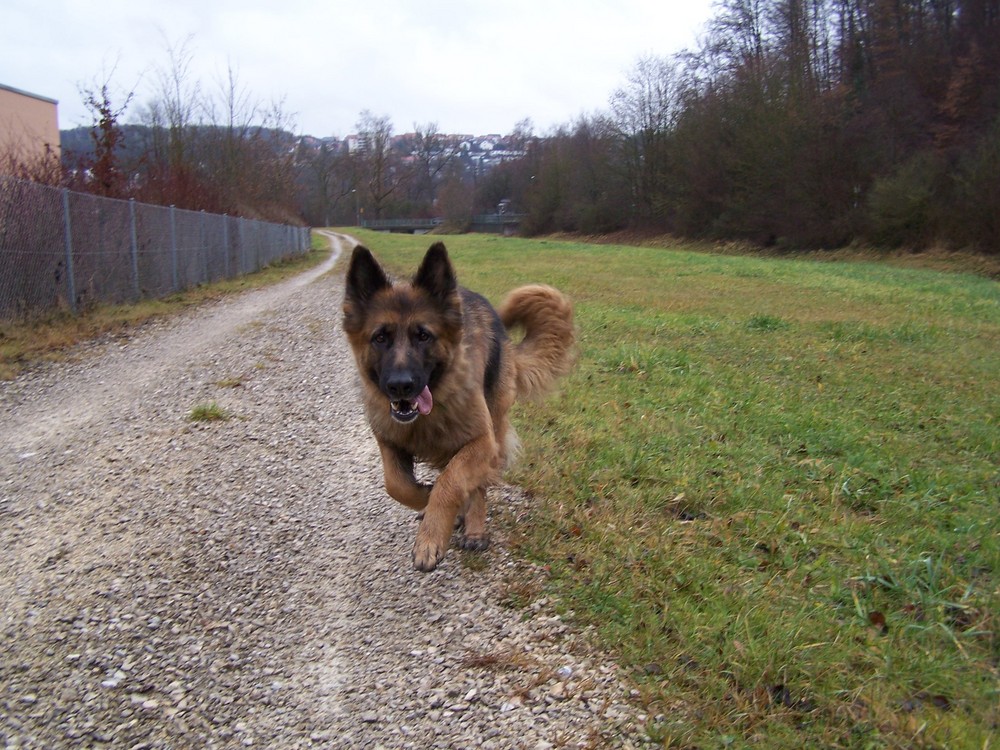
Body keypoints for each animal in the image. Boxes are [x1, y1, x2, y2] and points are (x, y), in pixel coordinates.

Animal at [346, 244, 576, 572]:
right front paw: (426, 501)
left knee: (476, 485)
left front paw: (431, 536)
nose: (401, 386)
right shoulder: (389, 442)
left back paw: (474, 530)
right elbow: (396, 485)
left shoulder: (481, 442)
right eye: (380, 337)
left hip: (492, 428)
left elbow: (450, 483)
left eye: (423, 335)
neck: (426, 418)